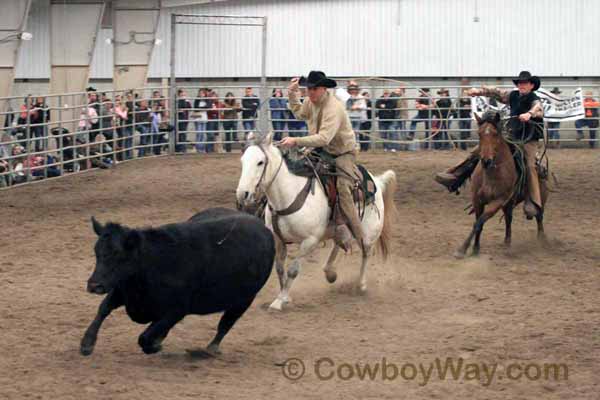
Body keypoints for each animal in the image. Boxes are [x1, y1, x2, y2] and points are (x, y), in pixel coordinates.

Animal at [236, 134, 398, 310]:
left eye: (260, 162)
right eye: (242, 160)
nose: (242, 194)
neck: (289, 194)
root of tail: (377, 182)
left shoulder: (310, 241)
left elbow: (293, 270)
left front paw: (280, 301)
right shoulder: (278, 239)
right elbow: (279, 268)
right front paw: (285, 297)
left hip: (369, 233)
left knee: (366, 253)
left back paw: (360, 285)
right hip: (338, 228)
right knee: (338, 243)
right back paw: (329, 271)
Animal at [454, 111, 548, 258]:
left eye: (495, 134)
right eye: (479, 134)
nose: (486, 161)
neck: (490, 175)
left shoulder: (498, 201)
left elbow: (479, 222)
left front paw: (462, 249)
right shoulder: (477, 200)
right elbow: (478, 223)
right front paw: (475, 249)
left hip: (540, 197)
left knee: (539, 216)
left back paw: (542, 240)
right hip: (508, 203)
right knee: (509, 219)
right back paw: (507, 242)